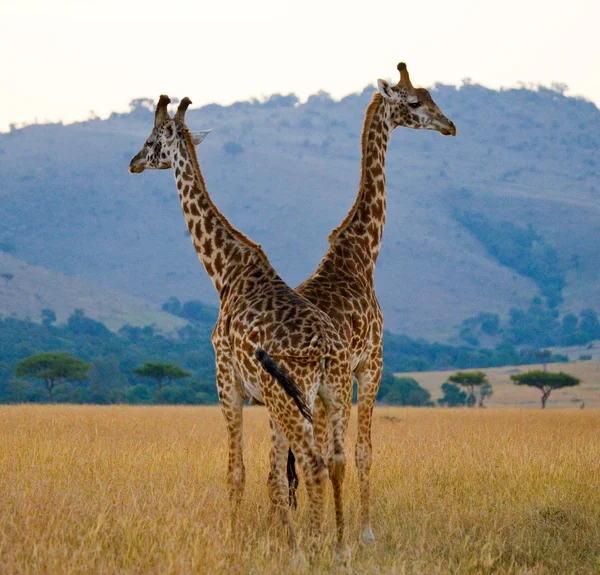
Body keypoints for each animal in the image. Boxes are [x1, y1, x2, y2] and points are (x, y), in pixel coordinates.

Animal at [126, 95, 352, 564]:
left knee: (314, 464)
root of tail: (325, 348)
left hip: (293, 395)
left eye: (152, 140)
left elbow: (237, 473)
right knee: (336, 460)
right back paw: (339, 550)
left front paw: (236, 545)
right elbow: (273, 478)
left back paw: (315, 550)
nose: (133, 162)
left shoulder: (227, 379)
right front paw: (286, 545)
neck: (225, 271)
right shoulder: (266, 396)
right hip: (332, 393)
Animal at [288, 63, 458, 544]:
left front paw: (329, 528)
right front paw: (364, 533)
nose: (450, 126)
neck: (362, 254)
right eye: (415, 102)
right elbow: (363, 450)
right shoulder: (371, 363)